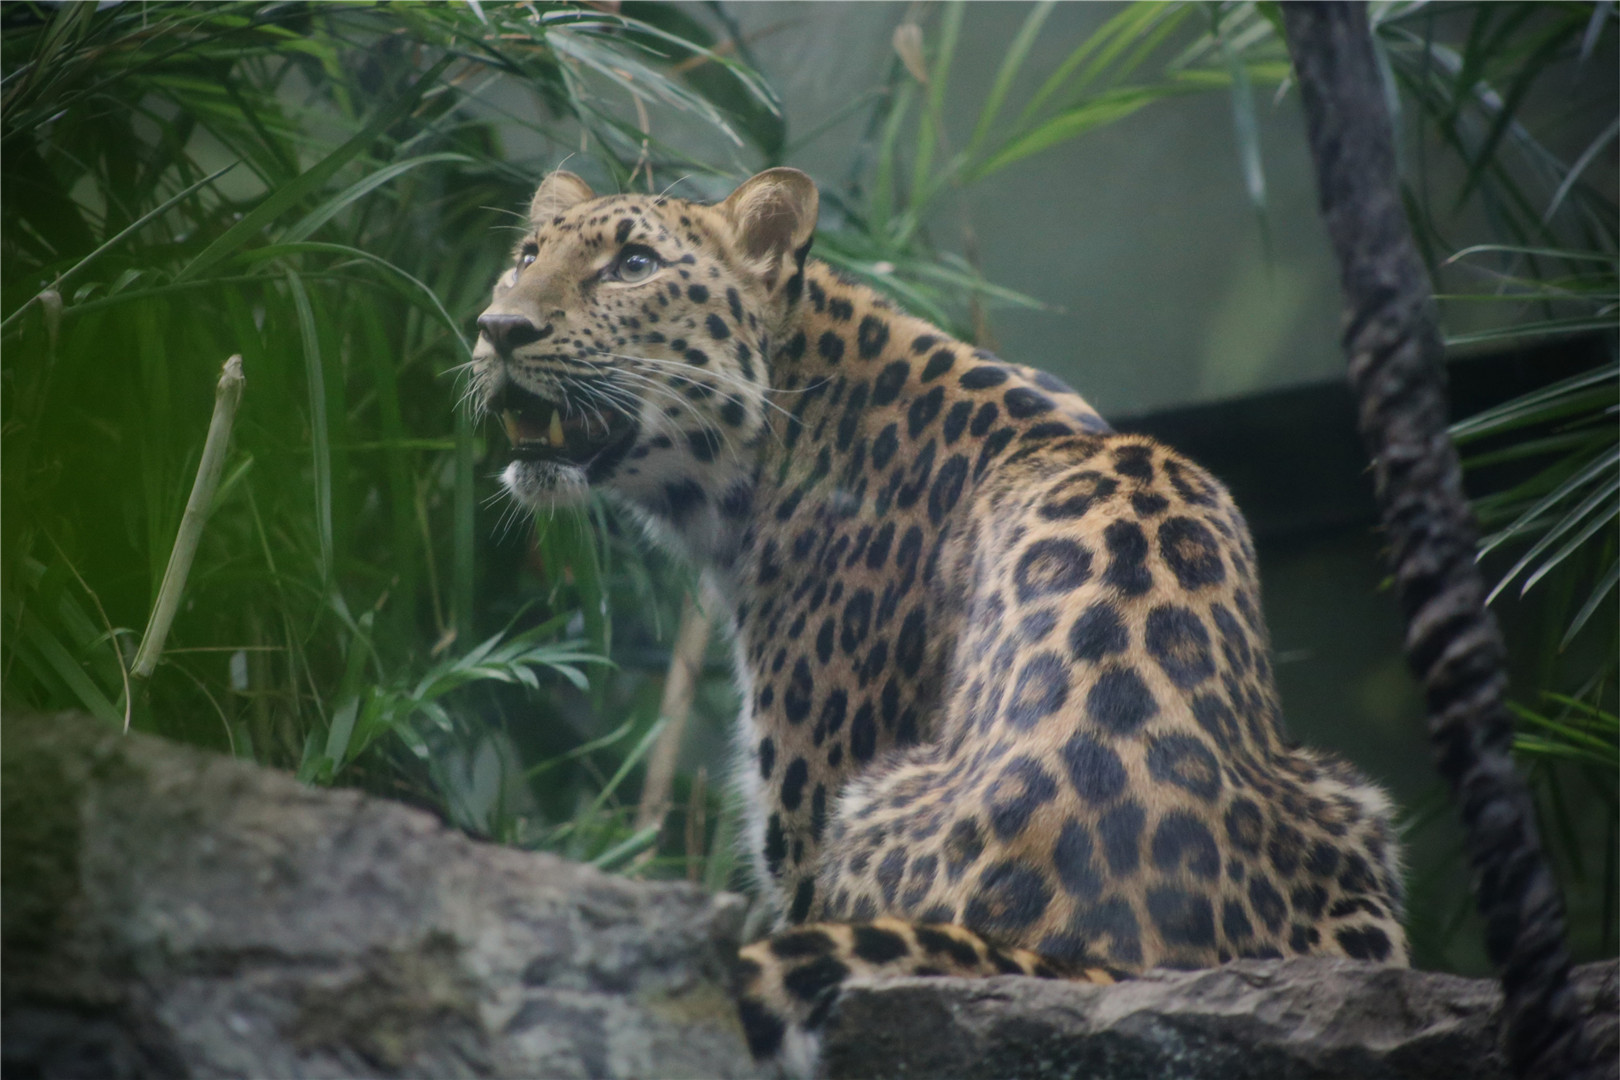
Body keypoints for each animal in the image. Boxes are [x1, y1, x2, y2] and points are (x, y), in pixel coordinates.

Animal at [470, 166, 1409, 1073]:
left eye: (633, 264)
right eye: (525, 257)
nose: (499, 328)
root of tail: (1116, 951)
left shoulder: (810, 820)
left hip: (869, 803)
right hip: (1353, 807)